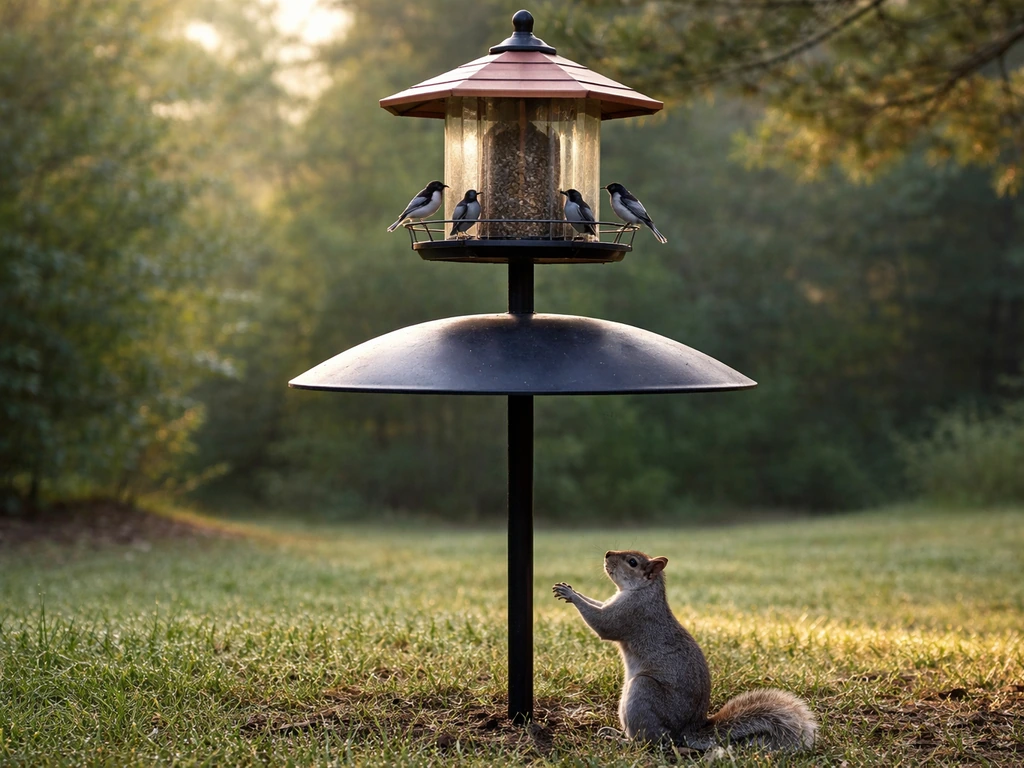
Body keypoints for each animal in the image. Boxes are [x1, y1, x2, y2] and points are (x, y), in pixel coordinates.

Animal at [552, 549, 817, 751]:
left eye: (632, 562)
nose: (608, 554)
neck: (643, 591)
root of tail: (684, 732)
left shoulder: (632, 613)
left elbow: (603, 624)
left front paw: (571, 594)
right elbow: (597, 605)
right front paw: (572, 590)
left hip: (642, 691)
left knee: (652, 741)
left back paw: (623, 741)